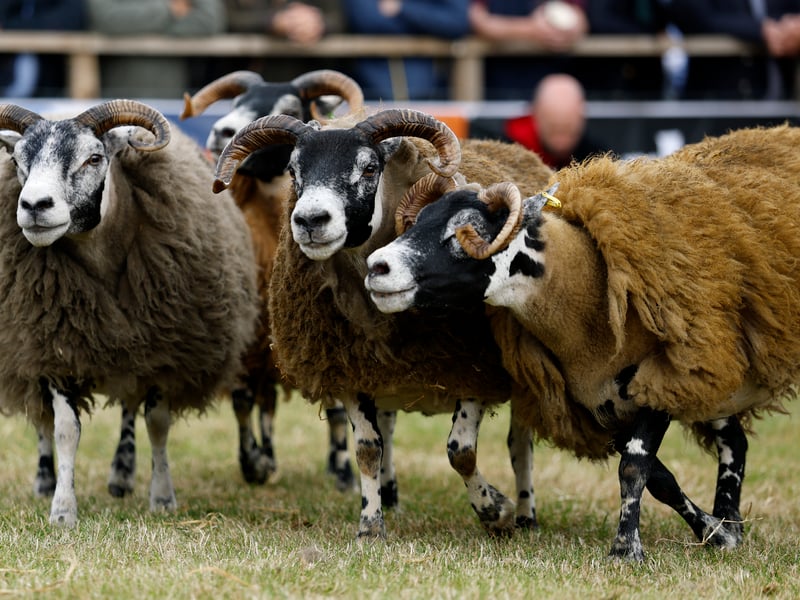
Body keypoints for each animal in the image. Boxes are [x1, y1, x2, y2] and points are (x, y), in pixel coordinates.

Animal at [0, 99, 259, 526]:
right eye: (18, 160)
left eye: (93, 158)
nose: (35, 206)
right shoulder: (53, 349)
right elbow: (64, 430)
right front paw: (62, 509)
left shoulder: (165, 350)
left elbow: (157, 423)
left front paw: (163, 498)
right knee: (41, 420)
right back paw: (45, 480)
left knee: (128, 409)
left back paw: (122, 475)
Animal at [212, 108, 555, 539]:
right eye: (293, 170)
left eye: (370, 167)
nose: (310, 220)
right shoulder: (350, 368)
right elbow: (367, 449)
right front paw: (370, 525)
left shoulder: (471, 367)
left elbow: (461, 451)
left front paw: (495, 510)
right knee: (390, 429)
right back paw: (391, 496)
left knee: (519, 445)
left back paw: (526, 515)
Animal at [364, 123, 800, 560]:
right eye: (419, 219)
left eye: (465, 230)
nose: (377, 267)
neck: (588, 292)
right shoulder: (603, 403)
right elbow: (660, 479)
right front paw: (715, 532)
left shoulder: (660, 382)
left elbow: (634, 465)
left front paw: (626, 549)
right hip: (713, 368)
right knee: (735, 441)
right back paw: (730, 520)